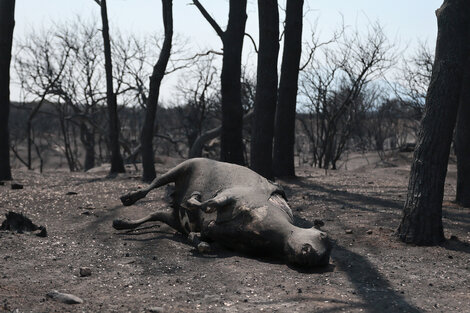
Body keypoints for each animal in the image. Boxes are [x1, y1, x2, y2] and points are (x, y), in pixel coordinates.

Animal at [114, 157, 330, 266]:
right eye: (323, 235)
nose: (313, 255)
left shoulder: (211, 230)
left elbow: (199, 236)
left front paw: (202, 244)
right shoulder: (230, 195)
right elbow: (206, 204)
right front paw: (195, 198)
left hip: (173, 218)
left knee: (153, 214)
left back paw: (121, 223)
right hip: (180, 168)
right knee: (154, 184)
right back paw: (129, 198)